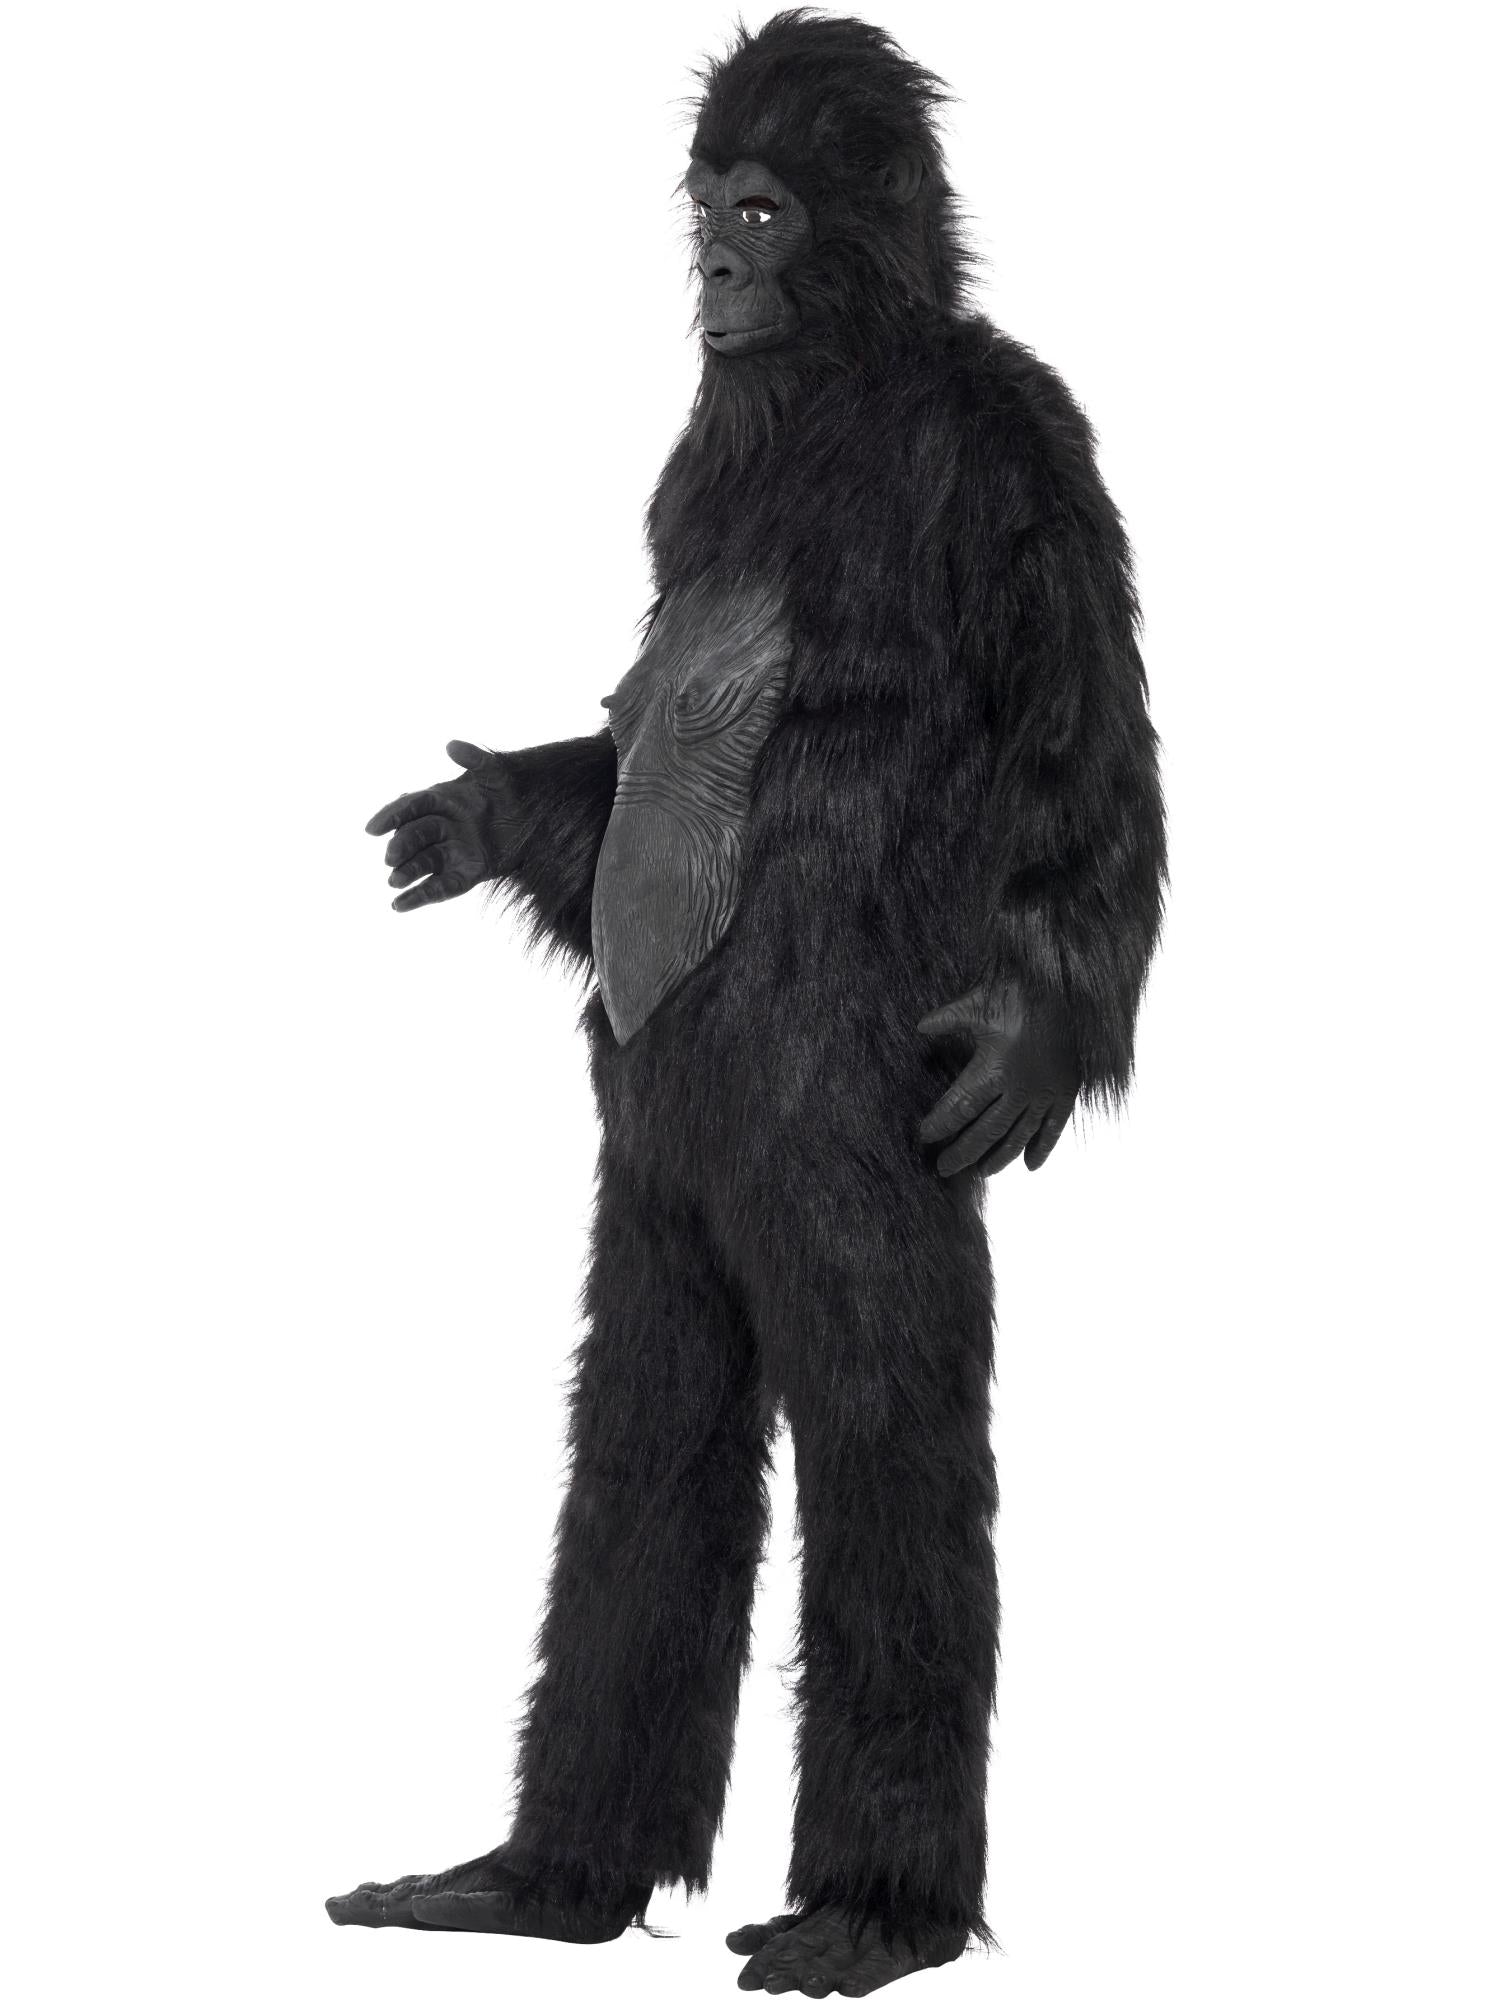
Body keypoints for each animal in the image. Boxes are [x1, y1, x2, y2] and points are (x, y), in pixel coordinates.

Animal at [326, 14, 1165, 1995]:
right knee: (646, 1427)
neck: (846, 386)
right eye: (710, 204)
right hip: (664, 1194)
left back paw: (872, 1916)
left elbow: (1089, 774)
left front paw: (1026, 1045)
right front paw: (475, 820)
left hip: (829, 1166)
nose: (712, 270)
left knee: (887, 1437)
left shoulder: (1027, 458)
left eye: (769, 212)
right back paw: (541, 1883)